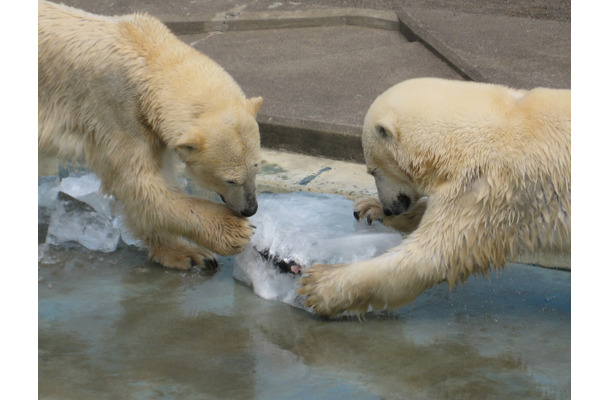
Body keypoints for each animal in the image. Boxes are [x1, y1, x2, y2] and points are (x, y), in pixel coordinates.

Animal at [38, 0, 262, 268]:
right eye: (230, 179)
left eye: (257, 167)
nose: (250, 209)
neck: (147, 52)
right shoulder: (115, 110)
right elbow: (139, 184)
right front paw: (232, 232)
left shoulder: (149, 126)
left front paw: (184, 252)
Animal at [296, 77, 568, 316]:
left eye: (372, 170)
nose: (389, 207)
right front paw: (369, 210)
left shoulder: (491, 188)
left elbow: (435, 253)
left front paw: (319, 285)